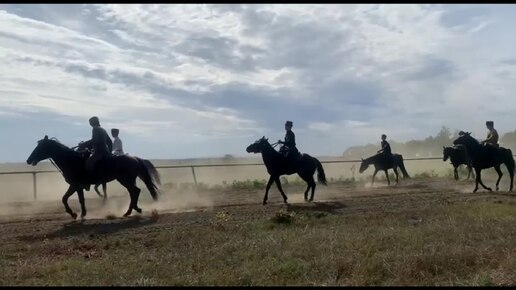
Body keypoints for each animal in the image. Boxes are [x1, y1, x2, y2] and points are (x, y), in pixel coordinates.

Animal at [25, 136, 159, 220]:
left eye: (40, 148)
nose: (28, 160)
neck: (71, 160)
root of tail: (135, 158)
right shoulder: (77, 186)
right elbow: (79, 199)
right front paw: (81, 214)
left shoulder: (75, 185)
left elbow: (65, 198)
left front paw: (74, 214)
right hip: (128, 180)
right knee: (134, 192)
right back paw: (132, 210)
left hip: (125, 180)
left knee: (135, 191)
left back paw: (131, 211)